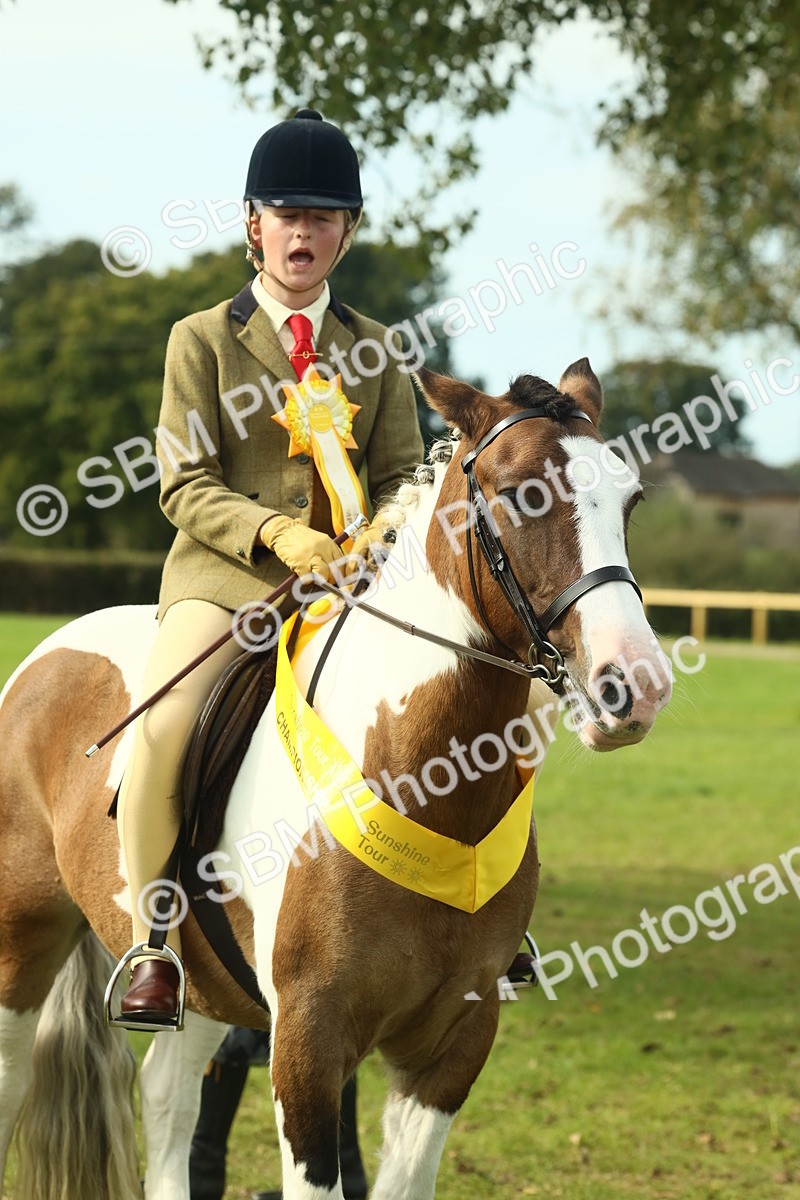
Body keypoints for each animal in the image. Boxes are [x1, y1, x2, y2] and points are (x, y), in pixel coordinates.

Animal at [0, 360, 671, 1200]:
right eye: (522, 493)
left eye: (631, 498)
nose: (635, 686)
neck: (427, 782)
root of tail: (49, 651)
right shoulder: (308, 1044)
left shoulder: (452, 1044)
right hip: (21, 942)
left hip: (202, 983)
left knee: (168, 1094)